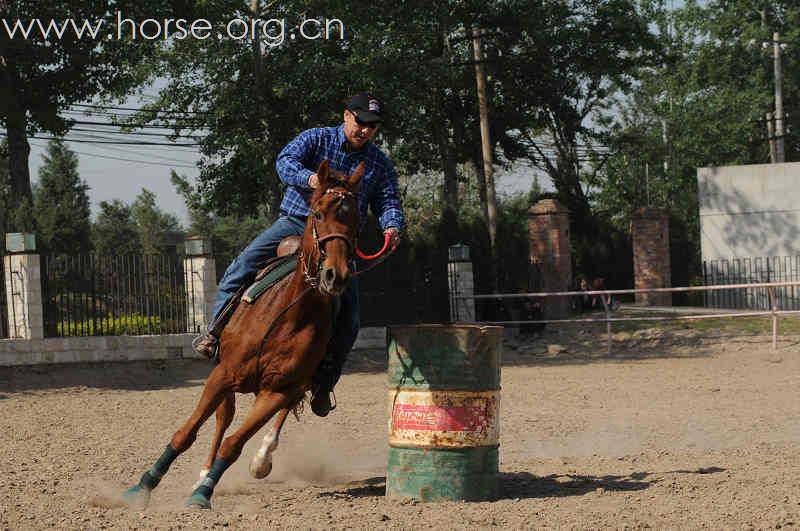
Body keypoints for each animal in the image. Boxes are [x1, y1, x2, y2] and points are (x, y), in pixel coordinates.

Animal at [123, 160, 364, 510]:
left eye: (357, 220)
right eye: (318, 213)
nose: (337, 275)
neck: (290, 314)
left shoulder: (279, 389)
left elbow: (235, 443)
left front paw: (204, 493)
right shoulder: (223, 374)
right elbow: (188, 433)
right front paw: (145, 485)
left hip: (295, 384)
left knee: (276, 417)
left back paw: (261, 458)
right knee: (223, 419)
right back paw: (203, 471)